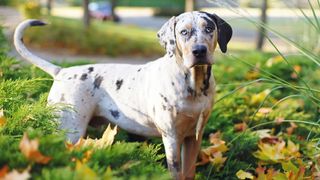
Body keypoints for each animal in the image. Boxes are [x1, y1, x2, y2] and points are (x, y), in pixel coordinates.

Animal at [13, 11, 232, 179]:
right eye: (183, 32)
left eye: (209, 28)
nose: (199, 51)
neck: (194, 85)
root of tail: (61, 71)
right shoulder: (171, 137)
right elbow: (175, 172)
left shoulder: (193, 136)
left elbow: (189, 172)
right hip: (69, 129)